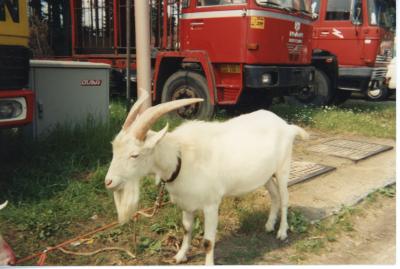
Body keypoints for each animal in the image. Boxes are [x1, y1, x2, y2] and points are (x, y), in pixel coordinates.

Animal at [104, 90, 308, 264]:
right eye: (113, 148)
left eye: (134, 155)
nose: (109, 182)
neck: (181, 158)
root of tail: (287, 126)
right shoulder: (186, 204)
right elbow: (187, 229)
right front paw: (179, 256)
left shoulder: (211, 204)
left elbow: (208, 241)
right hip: (265, 175)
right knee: (274, 195)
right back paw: (269, 225)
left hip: (283, 168)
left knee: (284, 197)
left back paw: (282, 232)